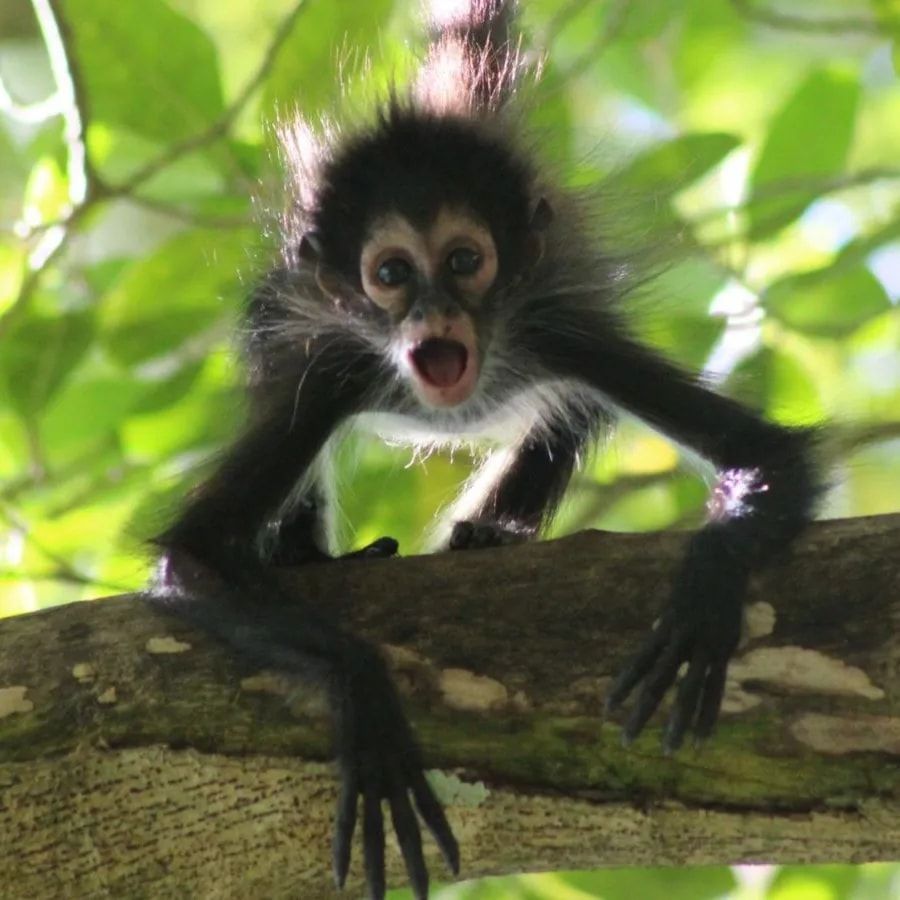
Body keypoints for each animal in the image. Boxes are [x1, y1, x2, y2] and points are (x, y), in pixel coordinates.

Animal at [151, 1, 820, 900]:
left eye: (464, 261)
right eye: (393, 274)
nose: (435, 312)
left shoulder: (561, 328)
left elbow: (772, 459)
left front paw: (704, 600)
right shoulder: (330, 368)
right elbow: (195, 556)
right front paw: (363, 693)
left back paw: (488, 534)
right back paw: (305, 556)